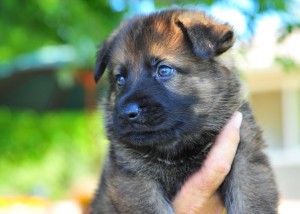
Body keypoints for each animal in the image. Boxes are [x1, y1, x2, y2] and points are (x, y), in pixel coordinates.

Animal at [91, 8, 278, 214]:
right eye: (120, 79)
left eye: (164, 70)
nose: (127, 113)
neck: (179, 148)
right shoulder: (134, 178)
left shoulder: (246, 160)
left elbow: (249, 201)